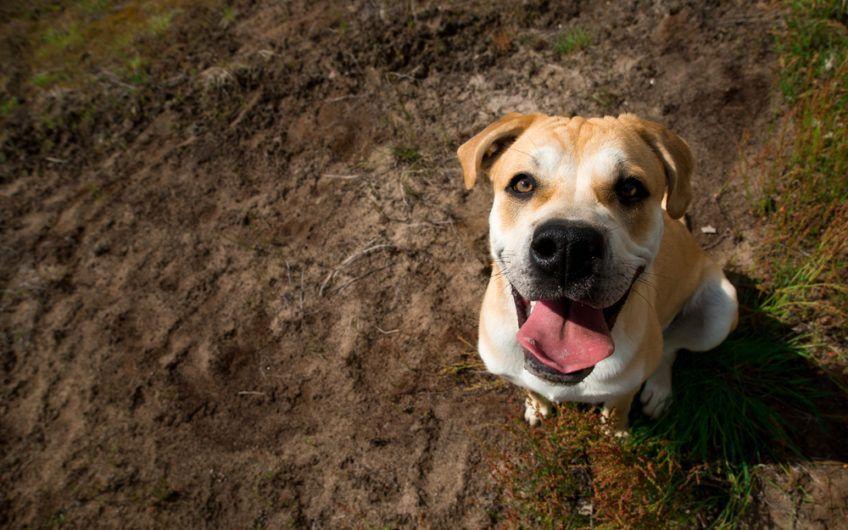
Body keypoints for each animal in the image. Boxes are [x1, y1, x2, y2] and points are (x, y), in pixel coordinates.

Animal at [454, 113, 740, 432]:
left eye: (630, 189)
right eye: (523, 184)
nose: (568, 246)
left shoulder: (625, 388)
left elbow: (617, 408)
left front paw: (615, 432)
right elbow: (530, 388)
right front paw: (537, 407)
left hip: (719, 313)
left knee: (671, 346)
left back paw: (658, 390)